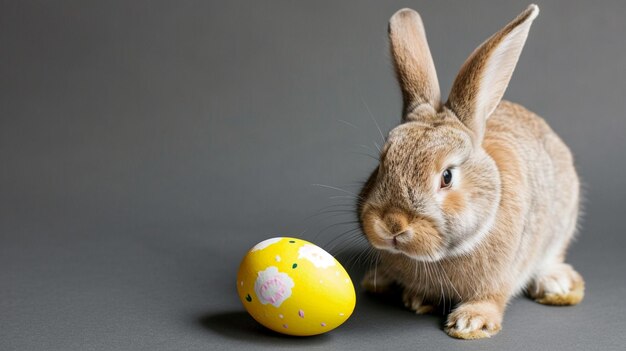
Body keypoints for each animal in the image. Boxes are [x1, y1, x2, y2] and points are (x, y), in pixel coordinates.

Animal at [358, 4, 584, 340]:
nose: (392, 224)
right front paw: (418, 299)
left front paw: (470, 323)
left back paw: (556, 285)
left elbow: (491, 296)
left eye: (447, 177)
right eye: (382, 162)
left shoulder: (501, 274)